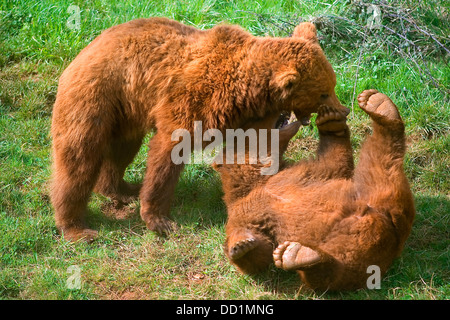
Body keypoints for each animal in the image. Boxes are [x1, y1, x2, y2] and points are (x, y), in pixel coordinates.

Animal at [52, 17, 348, 241]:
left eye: (332, 84)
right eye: (324, 92)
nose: (343, 109)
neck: (248, 92)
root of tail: (84, 50)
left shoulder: (249, 115)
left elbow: (252, 148)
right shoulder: (196, 99)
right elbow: (168, 151)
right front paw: (160, 220)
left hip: (125, 112)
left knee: (121, 150)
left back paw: (122, 189)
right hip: (97, 95)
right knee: (79, 159)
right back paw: (77, 228)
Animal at [216, 89, 416, 290]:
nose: (277, 108)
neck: (259, 179)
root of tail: (395, 239)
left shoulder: (304, 174)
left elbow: (335, 163)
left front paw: (330, 120)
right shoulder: (244, 212)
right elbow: (259, 251)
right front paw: (240, 246)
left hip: (373, 192)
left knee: (383, 158)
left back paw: (378, 105)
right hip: (350, 242)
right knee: (338, 271)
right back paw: (299, 256)